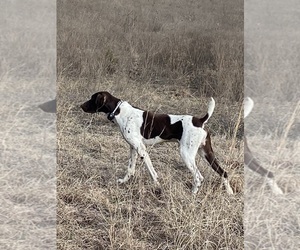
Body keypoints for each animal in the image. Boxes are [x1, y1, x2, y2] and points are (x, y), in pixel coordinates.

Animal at [80, 92, 234, 195]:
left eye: (92, 98)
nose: (80, 105)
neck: (119, 111)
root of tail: (201, 121)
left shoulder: (141, 149)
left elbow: (152, 172)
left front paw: (157, 186)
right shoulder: (133, 148)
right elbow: (130, 169)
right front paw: (123, 182)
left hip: (186, 154)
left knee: (198, 177)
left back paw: (192, 195)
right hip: (207, 154)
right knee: (224, 173)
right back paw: (230, 192)